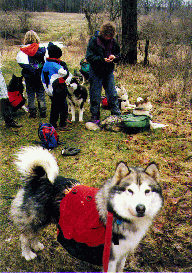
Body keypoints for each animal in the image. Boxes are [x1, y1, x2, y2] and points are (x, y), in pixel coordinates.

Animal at [10, 144, 164, 270]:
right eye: (130, 191)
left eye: (147, 191)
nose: (141, 208)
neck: (116, 214)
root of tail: (39, 177)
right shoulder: (110, 258)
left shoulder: (122, 254)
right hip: (35, 218)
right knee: (24, 237)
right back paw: (27, 253)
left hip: (43, 219)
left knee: (33, 234)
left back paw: (36, 245)